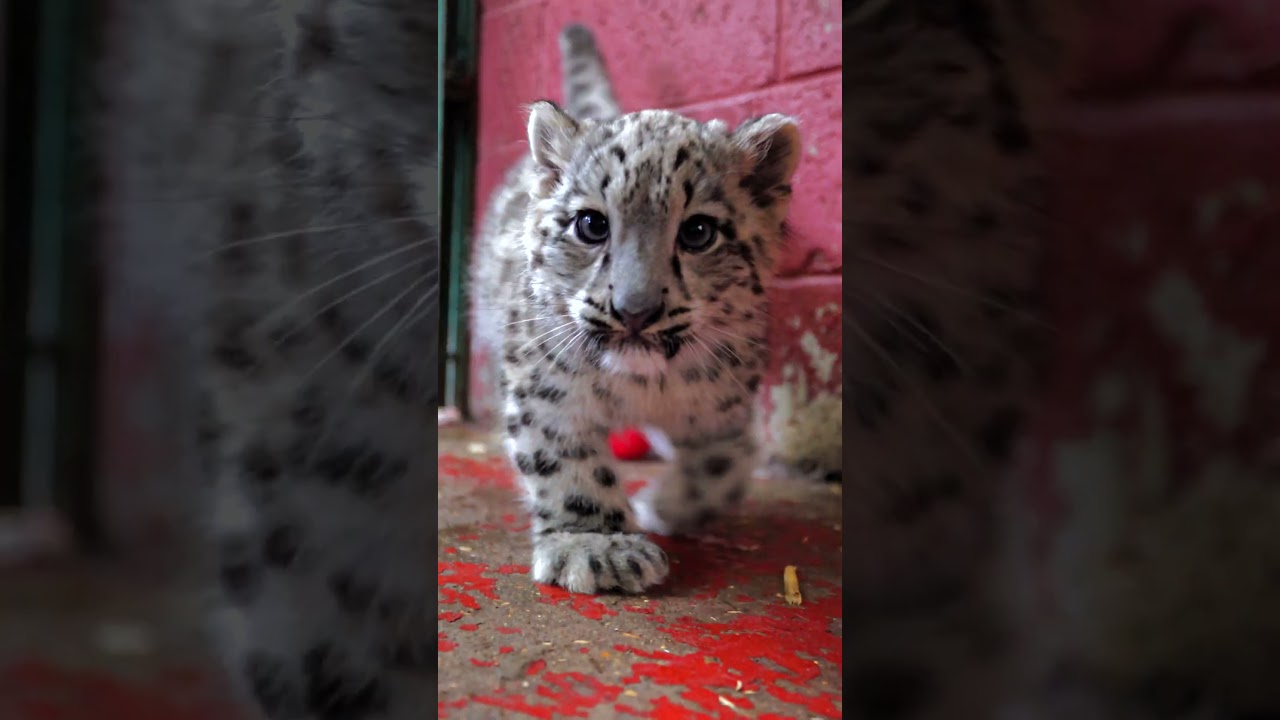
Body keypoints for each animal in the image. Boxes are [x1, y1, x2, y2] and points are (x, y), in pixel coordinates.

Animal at [468, 23, 803, 595]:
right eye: (590, 224)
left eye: (698, 231)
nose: (634, 310)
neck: (643, 388)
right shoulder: (545, 389)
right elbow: (564, 461)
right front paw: (598, 547)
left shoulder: (725, 400)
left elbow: (726, 462)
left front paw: (666, 507)